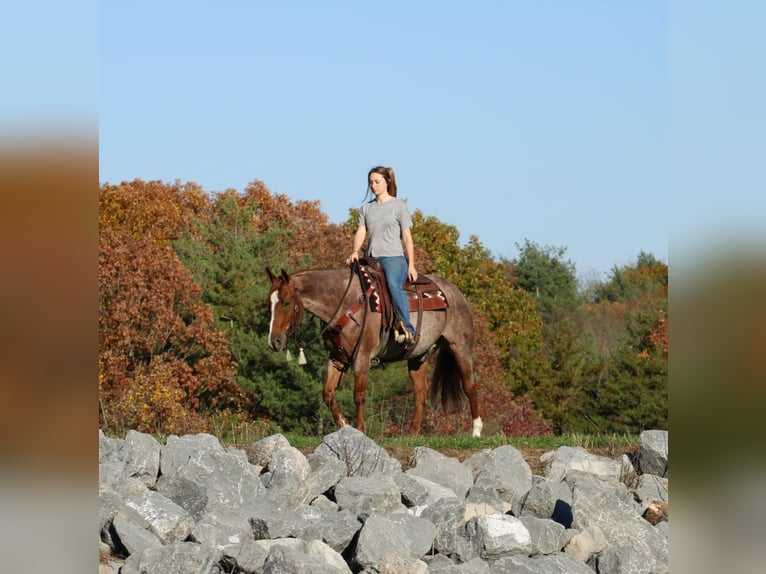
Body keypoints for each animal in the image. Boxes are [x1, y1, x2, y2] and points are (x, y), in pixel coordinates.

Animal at [268, 264, 484, 436]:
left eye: (286, 302)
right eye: (268, 303)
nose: (274, 342)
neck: (345, 301)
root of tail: (454, 291)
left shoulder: (362, 356)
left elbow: (359, 395)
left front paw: (361, 430)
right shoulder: (337, 358)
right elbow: (328, 393)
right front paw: (344, 425)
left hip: (460, 347)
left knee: (469, 385)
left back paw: (476, 430)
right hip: (418, 356)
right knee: (421, 391)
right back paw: (412, 433)